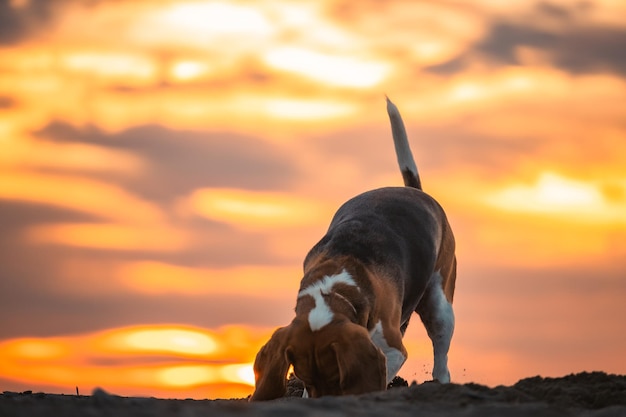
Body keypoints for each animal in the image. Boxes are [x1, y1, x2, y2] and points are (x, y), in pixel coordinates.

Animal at [247, 97, 454, 400]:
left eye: (338, 377)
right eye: (302, 377)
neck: (335, 286)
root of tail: (417, 192)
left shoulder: (391, 351)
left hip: (440, 302)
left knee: (441, 353)